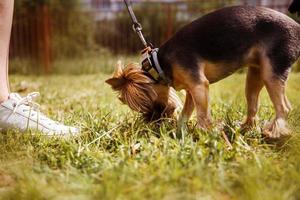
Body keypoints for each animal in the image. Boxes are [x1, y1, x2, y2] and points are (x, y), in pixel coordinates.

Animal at [106, 5, 300, 139]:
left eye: (147, 106)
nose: (152, 123)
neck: (158, 66)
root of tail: (297, 28)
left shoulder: (199, 85)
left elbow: (202, 114)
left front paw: (208, 132)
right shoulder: (191, 90)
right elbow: (185, 114)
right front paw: (179, 133)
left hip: (272, 71)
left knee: (284, 107)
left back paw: (274, 133)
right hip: (255, 74)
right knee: (253, 105)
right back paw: (245, 128)